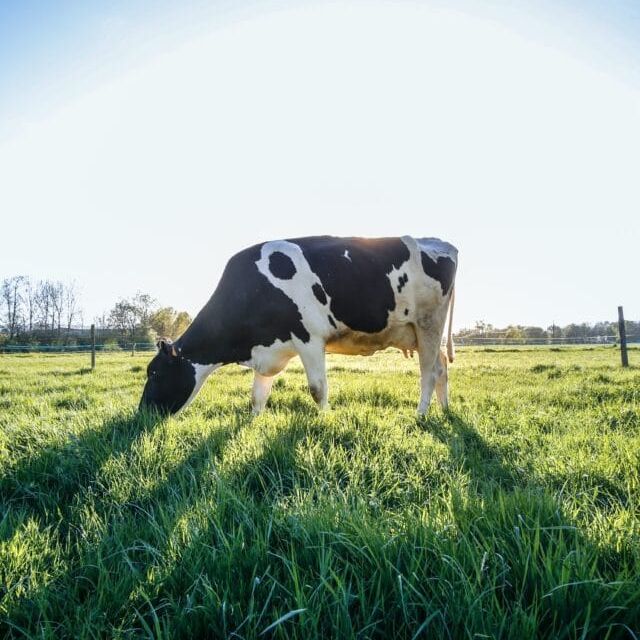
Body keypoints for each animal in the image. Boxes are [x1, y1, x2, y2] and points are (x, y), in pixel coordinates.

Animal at [139, 235, 457, 416]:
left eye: (154, 373)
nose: (142, 413)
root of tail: (439, 242)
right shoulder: (268, 348)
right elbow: (257, 396)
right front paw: (253, 422)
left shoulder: (309, 338)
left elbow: (318, 389)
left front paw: (325, 419)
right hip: (421, 332)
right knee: (441, 367)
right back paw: (444, 410)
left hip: (428, 323)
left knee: (428, 373)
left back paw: (421, 414)